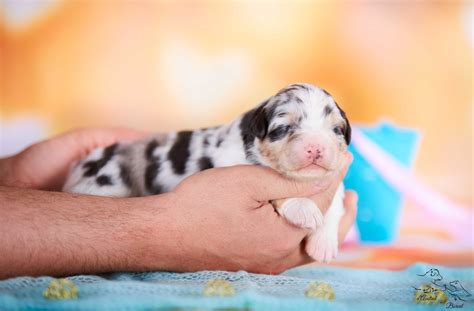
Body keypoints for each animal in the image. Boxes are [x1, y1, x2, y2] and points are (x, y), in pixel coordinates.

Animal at [63, 83, 350, 264]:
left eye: (336, 130)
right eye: (283, 128)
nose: (316, 148)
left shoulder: (332, 182)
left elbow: (334, 205)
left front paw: (323, 244)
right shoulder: (236, 168)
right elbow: (278, 192)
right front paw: (305, 208)